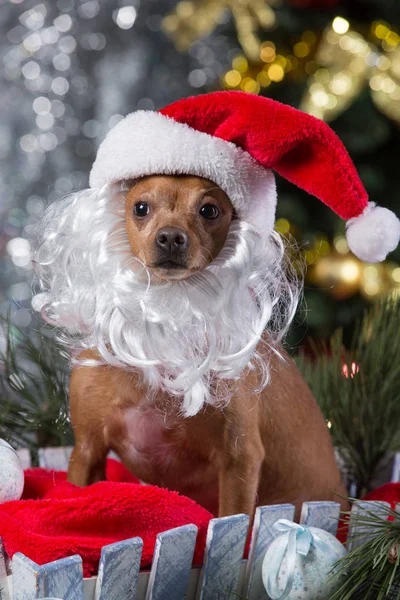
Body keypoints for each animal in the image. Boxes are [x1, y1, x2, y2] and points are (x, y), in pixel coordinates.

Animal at [66, 173, 346, 520]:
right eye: (140, 208)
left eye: (209, 211)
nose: (171, 237)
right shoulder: (86, 450)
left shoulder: (239, 460)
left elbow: (233, 518)